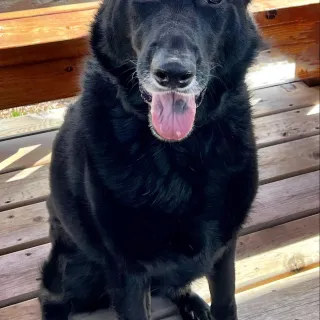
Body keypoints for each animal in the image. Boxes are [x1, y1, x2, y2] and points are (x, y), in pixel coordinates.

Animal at [38, 0, 262, 320]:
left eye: (214, 2)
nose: (173, 74)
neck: (179, 154)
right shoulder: (127, 271)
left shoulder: (223, 249)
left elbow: (225, 303)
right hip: (71, 268)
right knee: (52, 296)